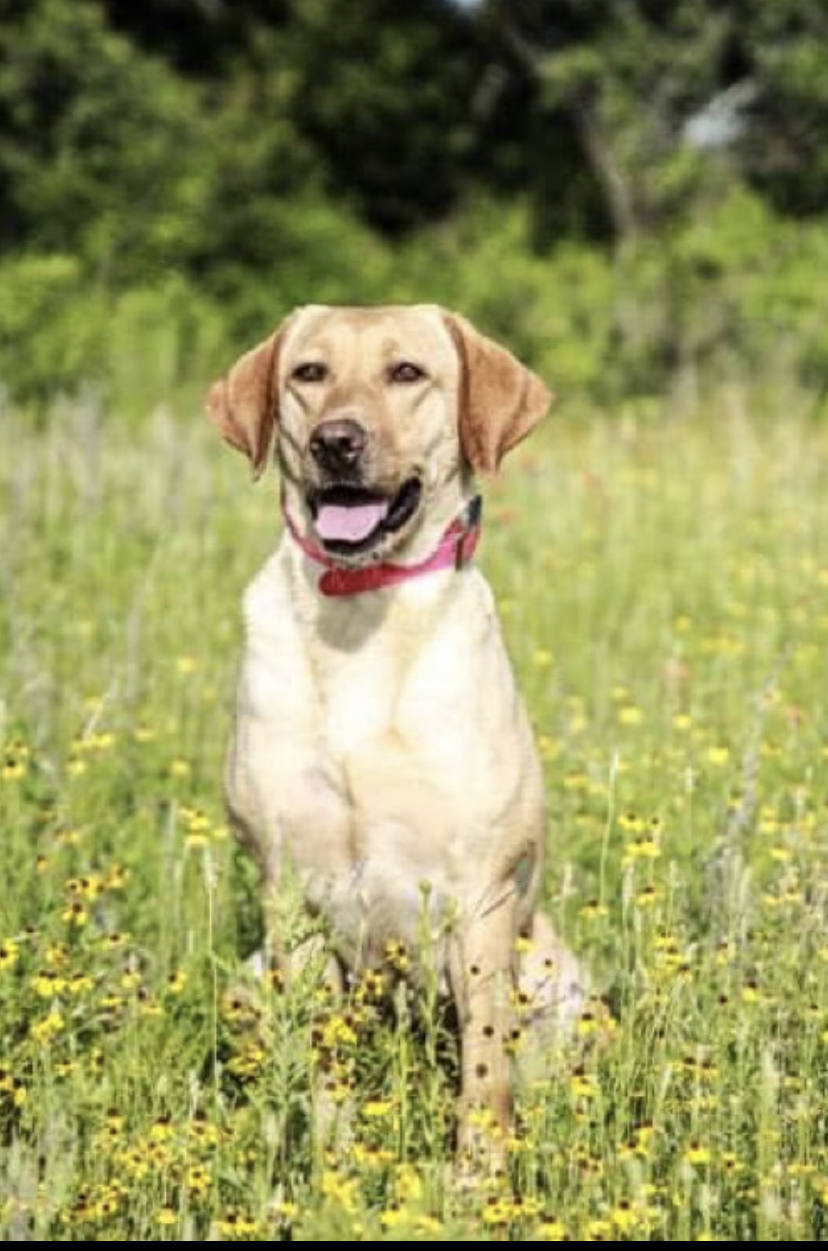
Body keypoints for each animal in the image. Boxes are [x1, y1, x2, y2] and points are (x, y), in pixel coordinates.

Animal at [205, 302, 587, 1160]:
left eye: (406, 372)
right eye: (309, 373)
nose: (336, 441)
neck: (359, 609)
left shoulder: (480, 893)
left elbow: (485, 1071)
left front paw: (478, 1177)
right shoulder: (291, 889)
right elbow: (320, 1056)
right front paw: (332, 1168)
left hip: (562, 980)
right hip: (244, 980)